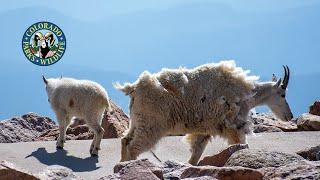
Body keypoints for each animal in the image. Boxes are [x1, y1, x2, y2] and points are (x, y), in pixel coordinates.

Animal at [115, 60, 292, 165]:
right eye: (283, 94)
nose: (289, 116)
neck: (248, 93)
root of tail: (134, 88)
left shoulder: (204, 129)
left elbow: (196, 154)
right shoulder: (234, 125)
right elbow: (240, 145)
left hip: (137, 121)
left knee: (125, 140)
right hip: (152, 124)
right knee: (134, 146)